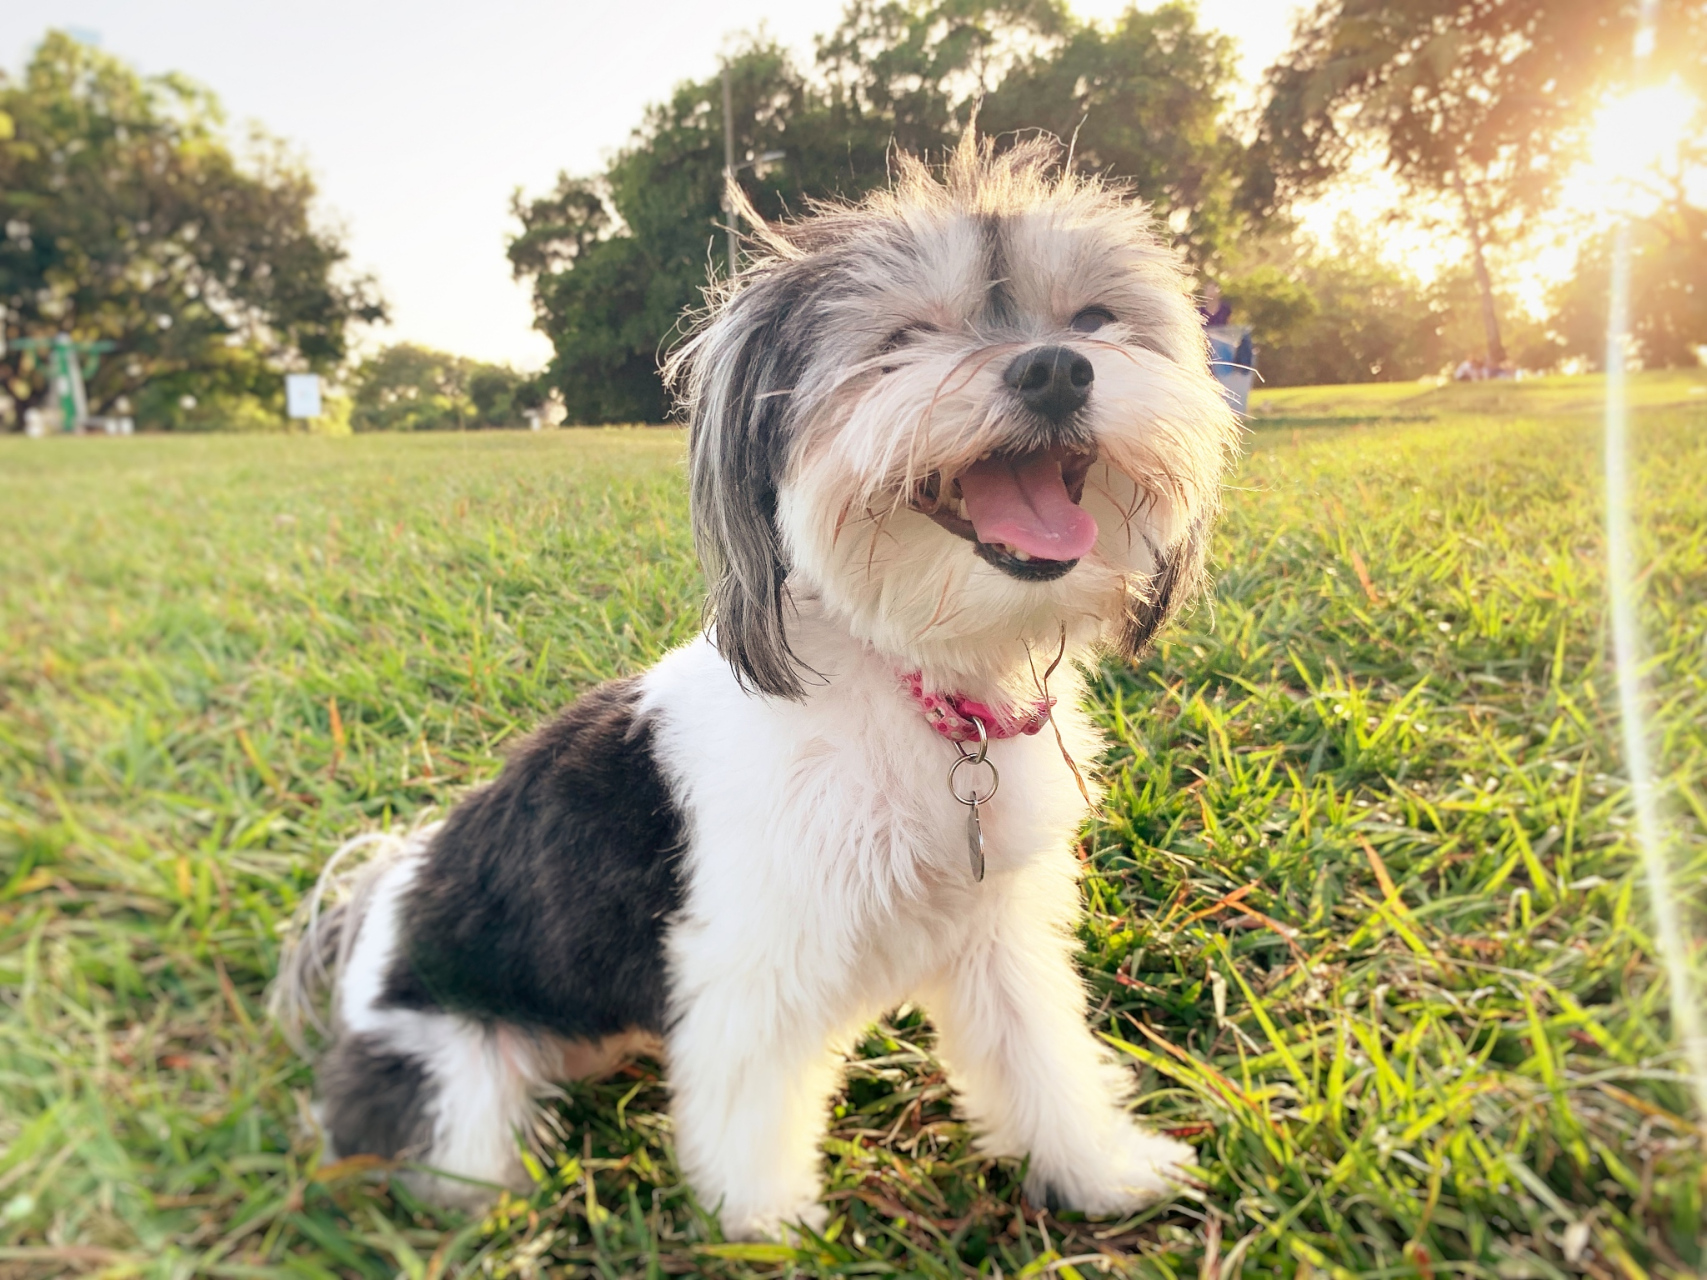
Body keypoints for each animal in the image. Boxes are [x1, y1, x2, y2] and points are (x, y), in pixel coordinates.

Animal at [276, 133, 1242, 1242]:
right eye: (904, 338)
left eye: (1093, 319)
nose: (1053, 367)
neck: (914, 683)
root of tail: (374, 907)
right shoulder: (749, 959)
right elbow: (748, 1101)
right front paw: (768, 1227)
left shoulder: (996, 929)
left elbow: (1039, 1050)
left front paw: (1101, 1169)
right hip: (451, 1076)